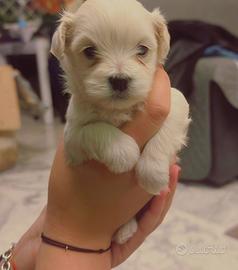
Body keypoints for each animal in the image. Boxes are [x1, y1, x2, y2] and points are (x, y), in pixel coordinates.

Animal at [51, 0, 191, 245]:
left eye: (142, 50)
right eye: (89, 51)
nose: (120, 80)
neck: (118, 110)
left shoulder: (175, 101)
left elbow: (166, 131)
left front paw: (152, 174)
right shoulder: (72, 136)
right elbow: (96, 130)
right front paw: (125, 152)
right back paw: (126, 229)